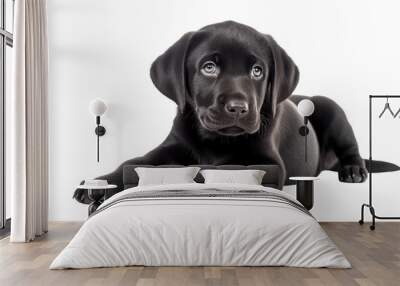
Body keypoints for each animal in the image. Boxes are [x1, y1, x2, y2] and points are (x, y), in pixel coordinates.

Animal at [73, 20, 368, 203]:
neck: (216, 139)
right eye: (209, 68)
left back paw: (353, 169)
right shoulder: (172, 145)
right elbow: (134, 161)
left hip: (330, 107)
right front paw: (98, 183)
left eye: (257, 71)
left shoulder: (269, 161)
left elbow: (229, 168)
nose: (238, 108)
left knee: (350, 146)